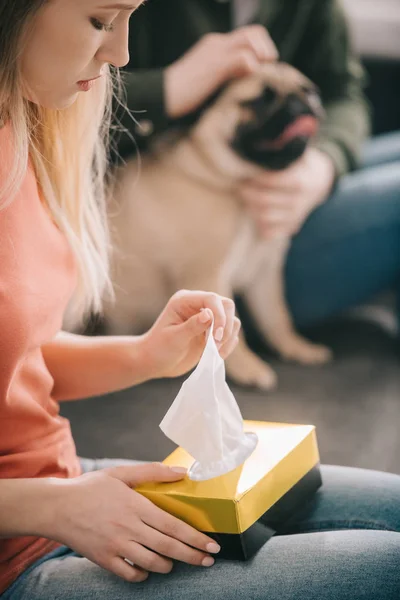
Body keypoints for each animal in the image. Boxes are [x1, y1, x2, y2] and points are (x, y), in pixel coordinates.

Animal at [105, 62, 332, 390]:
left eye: (309, 89)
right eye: (260, 100)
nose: (303, 101)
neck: (234, 184)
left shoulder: (265, 272)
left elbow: (277, 316)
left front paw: (296, 347)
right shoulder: (209, 273)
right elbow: (227, 328)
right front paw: (247, 367)